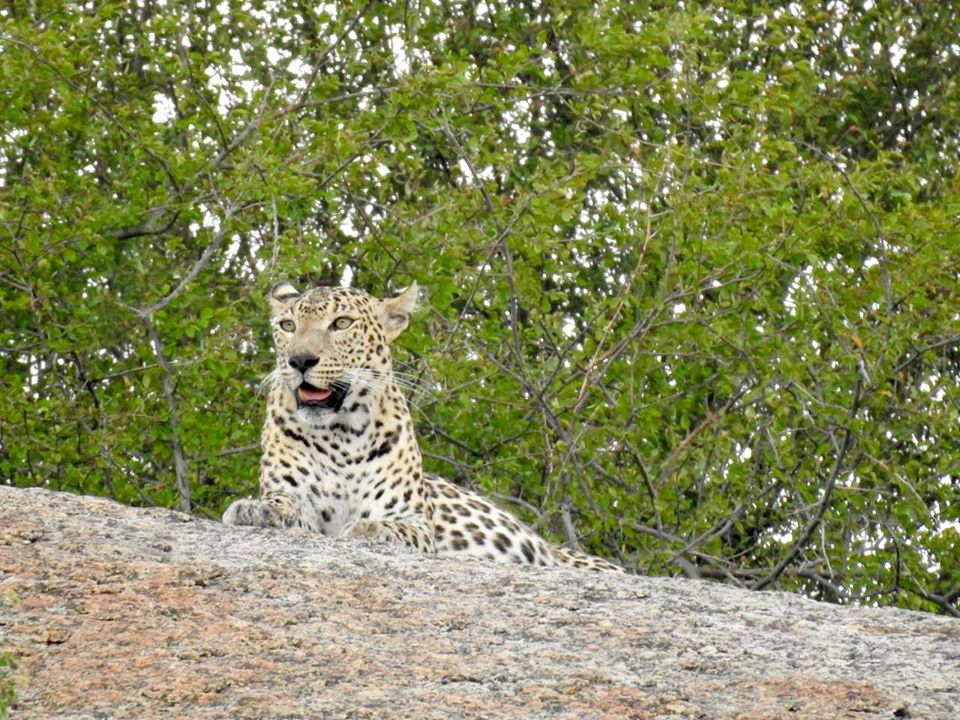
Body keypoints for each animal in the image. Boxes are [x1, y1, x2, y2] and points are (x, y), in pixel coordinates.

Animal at [224, 282, 624, 572]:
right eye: (287, 326)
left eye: (341, 323)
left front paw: (370, 529)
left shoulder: (414, 521)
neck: (340, 434)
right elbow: (284, 505)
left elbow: (393, 526)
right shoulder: (298, 500)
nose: (300, 360)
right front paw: (256, 510)